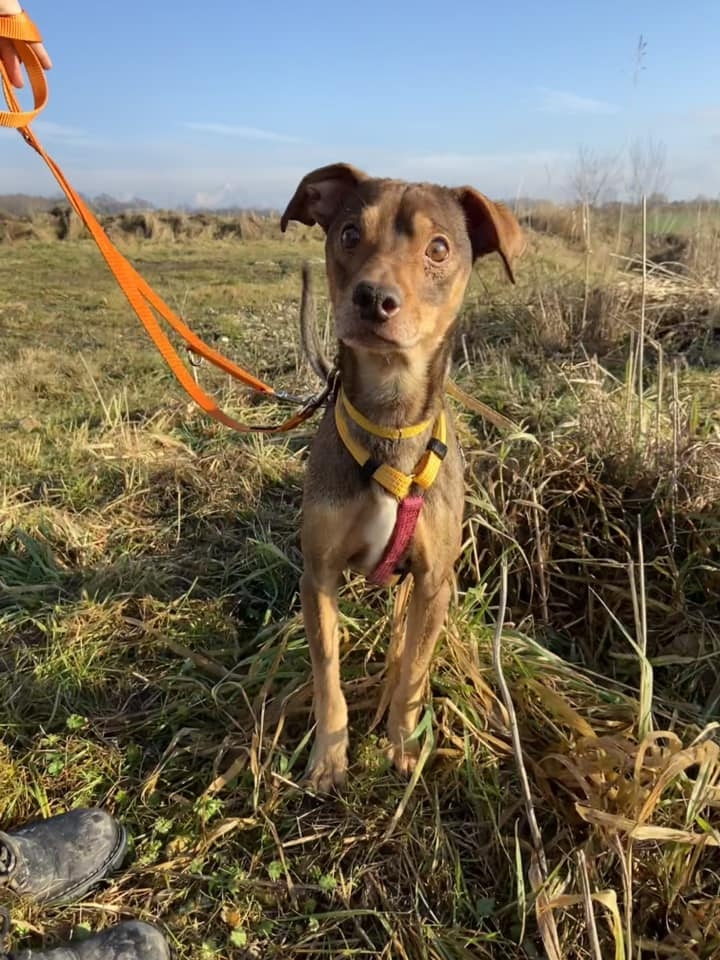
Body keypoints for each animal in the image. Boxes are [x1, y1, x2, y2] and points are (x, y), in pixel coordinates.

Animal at [280, 165, 524, 792]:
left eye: (438, 249)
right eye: (347, 234)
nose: (373, 298)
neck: (389, 419)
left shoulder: (436, 579)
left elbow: (414, 667)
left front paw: (405, 743)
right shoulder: (318, 576)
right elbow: (327, 673)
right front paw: (329, 757)